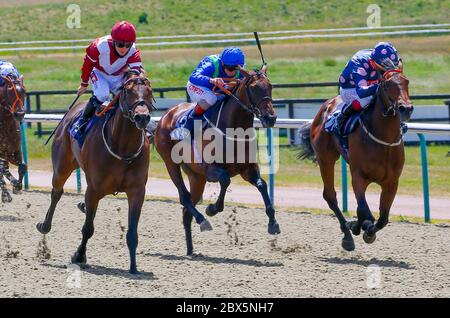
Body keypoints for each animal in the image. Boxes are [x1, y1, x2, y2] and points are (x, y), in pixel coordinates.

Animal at [37, 71, 153, 274]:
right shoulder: (93, 189)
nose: (142, 117)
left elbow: (132, 232)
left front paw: (133, 267)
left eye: (149, 91)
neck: (123, 148)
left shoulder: (137, 191)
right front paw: (79, 255)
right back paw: (45, 225)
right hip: (61, 167)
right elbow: (88, 228)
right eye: (128, 92)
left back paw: (82, 206)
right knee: (56, 193)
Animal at [156, 67, 282, 256]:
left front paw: (273, 223)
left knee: (186, 210)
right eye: (253, 88)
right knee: (184, 197)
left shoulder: (248, 168)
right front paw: (212, 209)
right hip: (171, 164)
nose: (270, 118)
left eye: (270, 85)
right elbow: (225, 180)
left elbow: (262, 184)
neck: (235, 130)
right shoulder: (211, 170)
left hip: (196, 177)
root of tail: (166, 115)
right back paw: (202, 220)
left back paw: (191, 249)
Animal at [298, 69, 414, 251]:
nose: (406, 109)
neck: (384, 141)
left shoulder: (391, 182)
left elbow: (382, 218)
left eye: (406, 81)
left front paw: (366, 230)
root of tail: (326, 105)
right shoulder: (359, 177)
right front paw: (357, 227)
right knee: (330, 196)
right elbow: (364, 211)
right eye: (387, 84)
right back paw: (347, 236)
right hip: (326, 159)